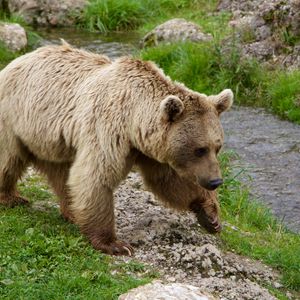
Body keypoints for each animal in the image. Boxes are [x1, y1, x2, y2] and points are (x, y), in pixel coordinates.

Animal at [0, 41, 232, 255]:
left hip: (51, 140)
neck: (134, 119)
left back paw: (72, 212)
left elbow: (168, 180)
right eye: (199, 149)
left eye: (217, 147)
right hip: (14, 118)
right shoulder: (108, 128)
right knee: (8, 159)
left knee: (62, 174)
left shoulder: (149, 149)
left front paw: (210, 215)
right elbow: (96, 176)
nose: (215, 181)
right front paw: (114, 244)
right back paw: (12, 198)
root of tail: (13, 62)